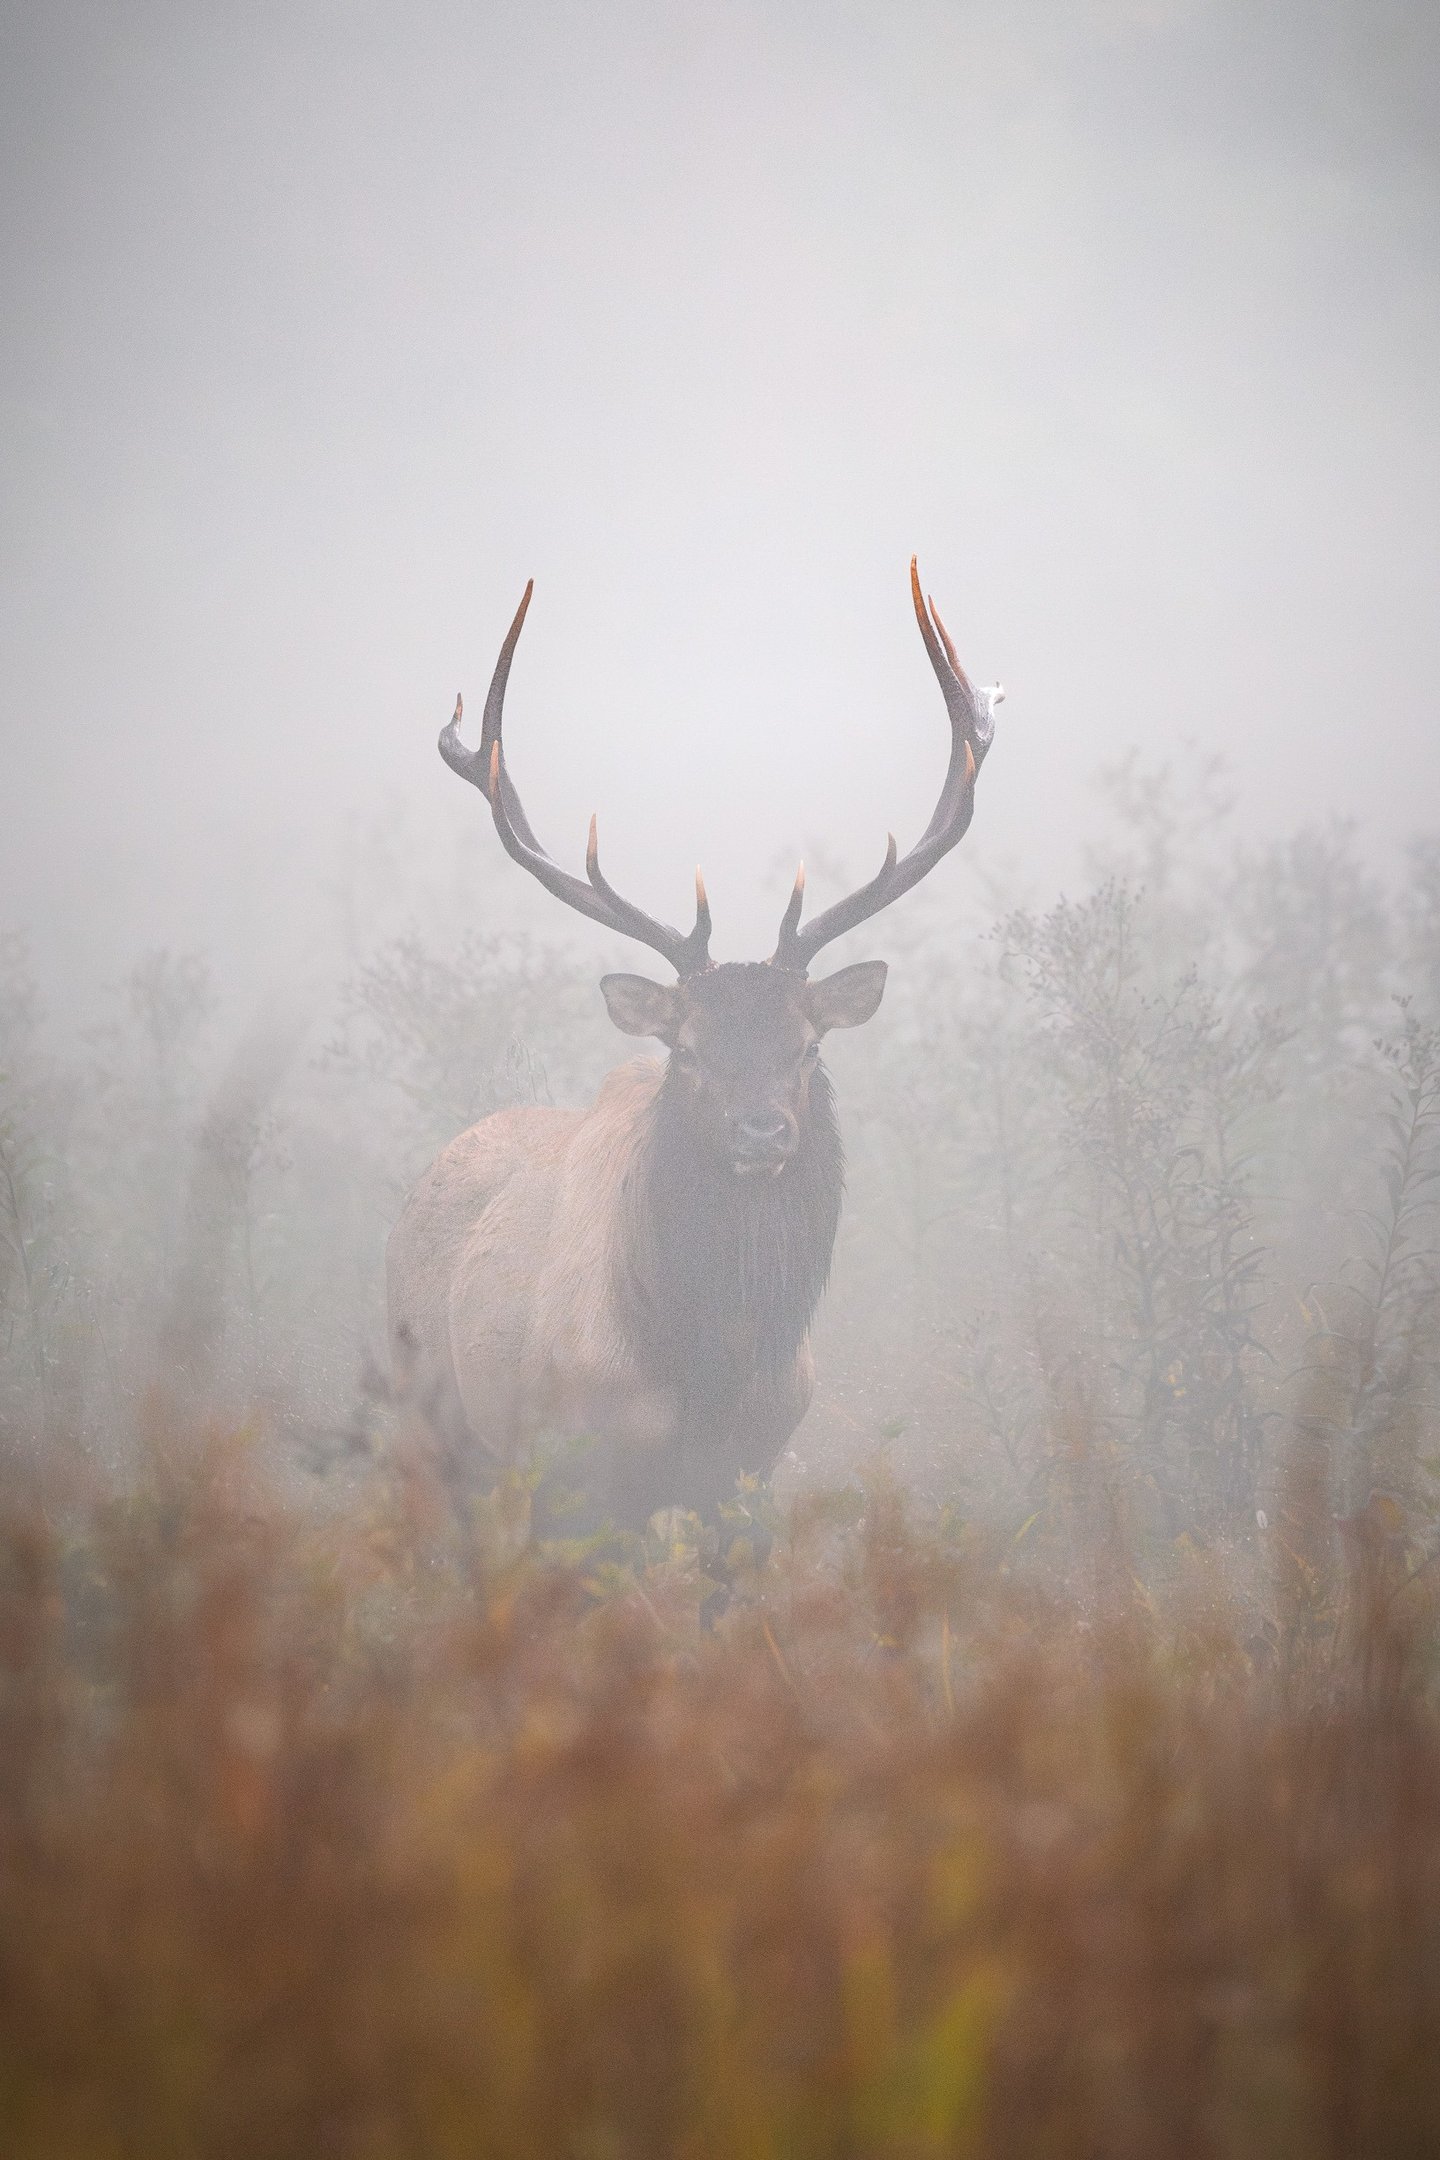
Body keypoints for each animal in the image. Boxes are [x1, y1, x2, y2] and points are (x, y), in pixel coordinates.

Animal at [386, 562, 1002, 1525]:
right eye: (689, 1051)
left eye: (807, 1047)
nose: (761, 1132)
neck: (710, 1367)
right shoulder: (585, 1476)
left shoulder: (751, 1470)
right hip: (433, 1426)